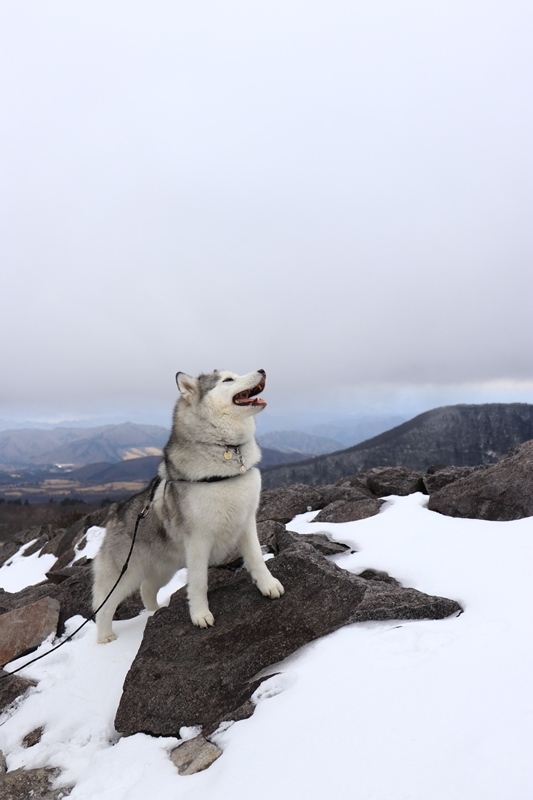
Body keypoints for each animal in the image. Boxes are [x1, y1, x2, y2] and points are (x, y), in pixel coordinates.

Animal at [92, 368, 282, 644]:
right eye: (228, 380)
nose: (262, 370)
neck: (226, 451)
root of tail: (115, 514)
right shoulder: (198, 541)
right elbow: (199, 581)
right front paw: (200, 615)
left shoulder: (246, 523)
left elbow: (257, 558)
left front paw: (268, 585)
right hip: (124, 574)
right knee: (104, 606)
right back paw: (105, 637)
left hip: (163, 568)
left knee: (147, 588)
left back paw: (155, 612)